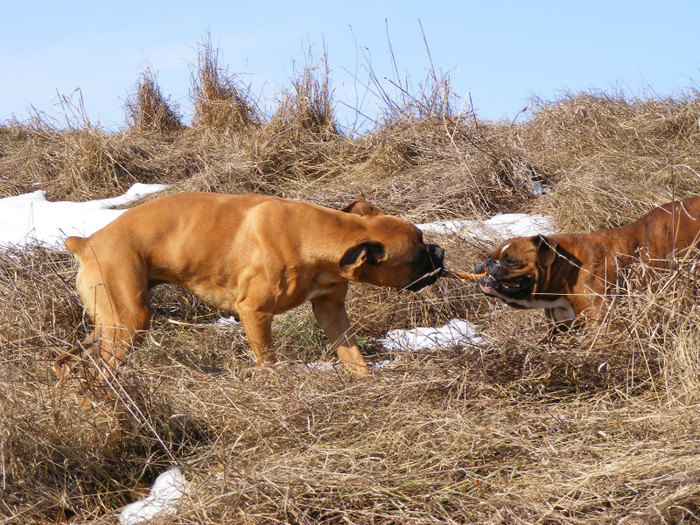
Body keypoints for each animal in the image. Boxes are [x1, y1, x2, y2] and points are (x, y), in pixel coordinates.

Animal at [57, 190, 446, 382]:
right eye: (417, 254)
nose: (440, 251)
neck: (317, 236)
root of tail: (85, 241)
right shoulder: (254, 313)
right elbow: (268, 362)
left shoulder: (332, 312)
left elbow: (354, 357)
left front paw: (368, 383)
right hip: (129, 322)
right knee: (99, 369)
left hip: (110, 324)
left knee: (67, 360)